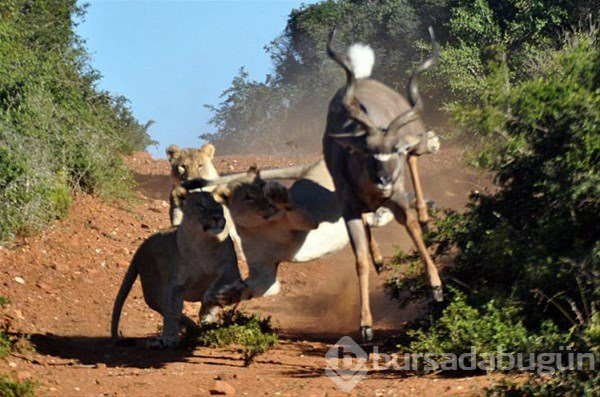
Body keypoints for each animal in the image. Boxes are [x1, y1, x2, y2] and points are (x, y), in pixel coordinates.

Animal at [324, 27, 446, 338]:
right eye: (367, 152)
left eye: (394, 152)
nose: (384, 180)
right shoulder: (350, 209)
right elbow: (360, 260)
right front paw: (366, 325)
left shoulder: (399, 198)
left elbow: (412, 228)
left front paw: (436, 287)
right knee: (370, 228)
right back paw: (380, 259)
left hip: (415, 145)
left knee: (416, 159)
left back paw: (425, 215)